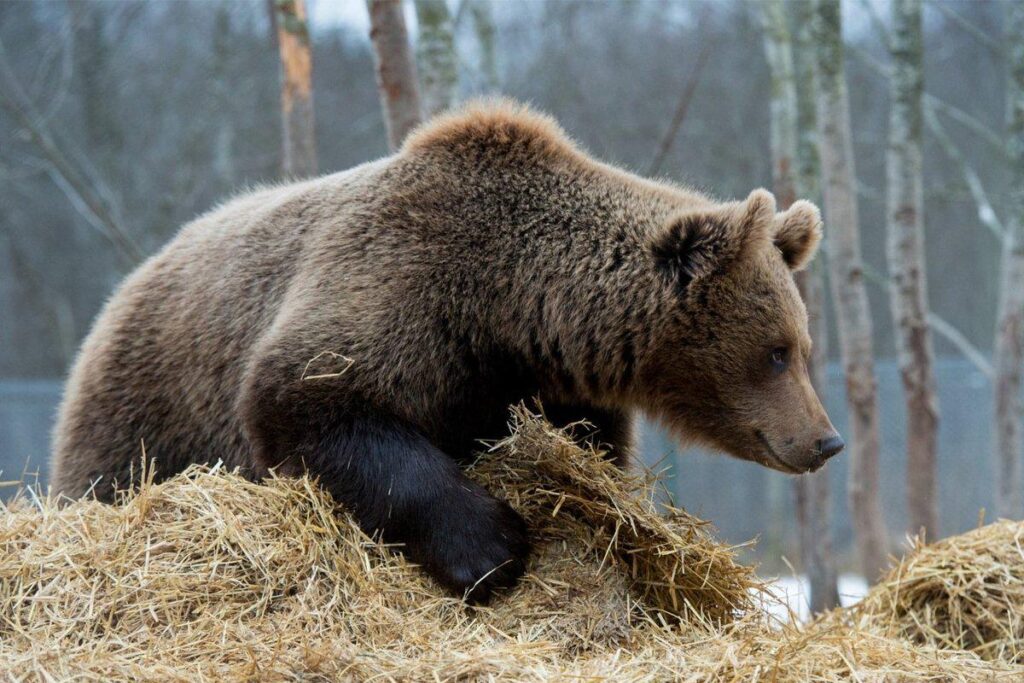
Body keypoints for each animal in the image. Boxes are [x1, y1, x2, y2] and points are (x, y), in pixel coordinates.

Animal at [52, 100, 843, 603]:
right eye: (777, 352)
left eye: (802, 347)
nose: (825, 440)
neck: (515, 305)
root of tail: (125, 287)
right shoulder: (403, 288)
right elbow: (311, 399)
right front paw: (492, 546)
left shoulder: (547, 382)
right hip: (149, 406)